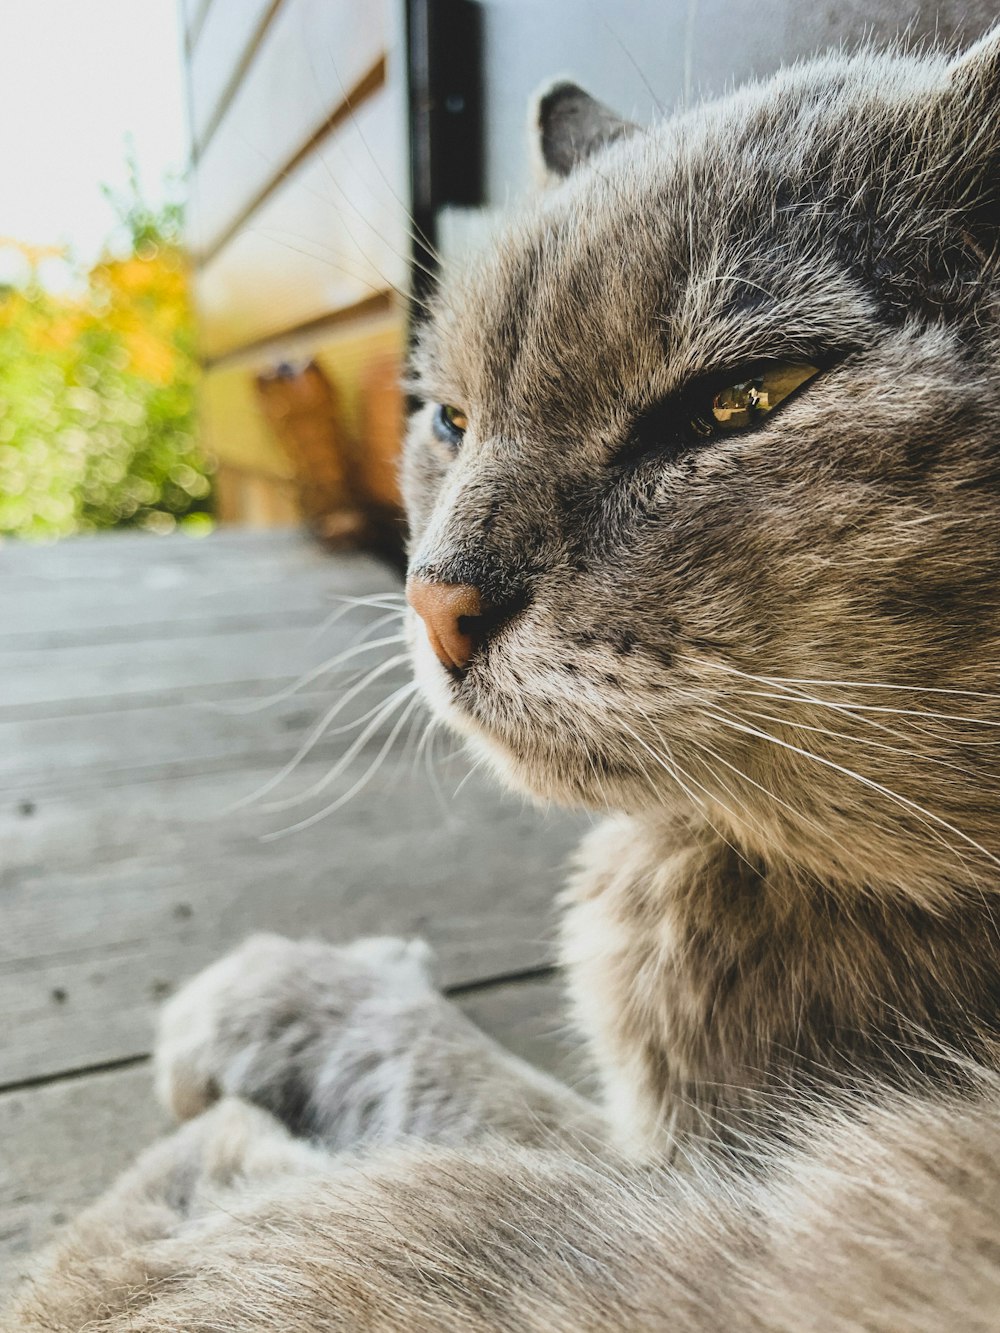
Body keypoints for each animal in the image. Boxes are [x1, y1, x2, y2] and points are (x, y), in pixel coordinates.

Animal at [7, 23, 1000, 1333]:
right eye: (449, 419)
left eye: (742, 398)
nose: (434, 597)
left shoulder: (701, 1168)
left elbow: (470, 1080)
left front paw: (298, 987)